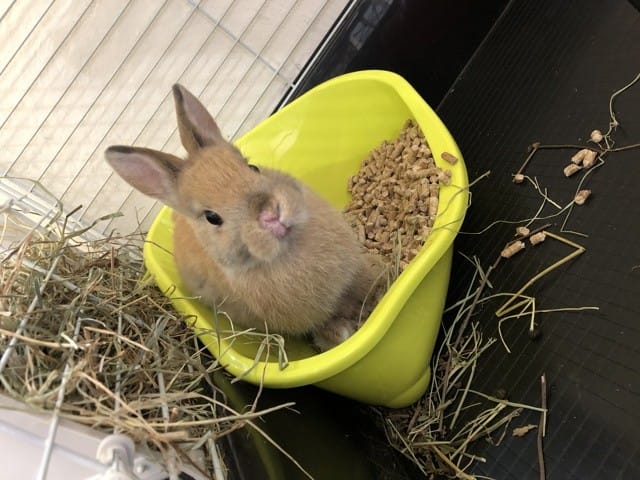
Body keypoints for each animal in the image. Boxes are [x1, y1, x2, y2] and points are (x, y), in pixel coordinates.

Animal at [105, 84, 384, 351]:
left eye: (253, 167)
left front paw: (381, 285)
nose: (271, 215)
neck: (288, 250)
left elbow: (365, 282)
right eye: (212, 217)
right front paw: (341, 333)